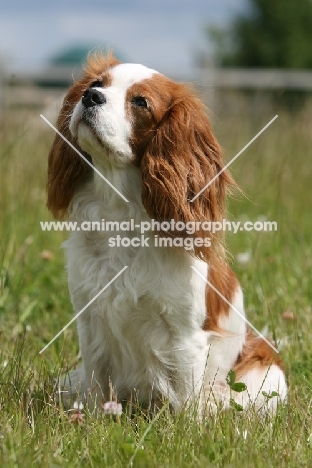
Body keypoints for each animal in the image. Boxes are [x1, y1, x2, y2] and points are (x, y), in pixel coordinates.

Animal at [47, 53, 288, 414]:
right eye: (96, 84)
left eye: (140, 102)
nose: (90, 96)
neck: (123, 213)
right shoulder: (89, 319)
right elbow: (96, 382)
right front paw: (91, 417)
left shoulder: (185, 336)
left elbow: (186, 400)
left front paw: (185, 427)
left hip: (265, 371)